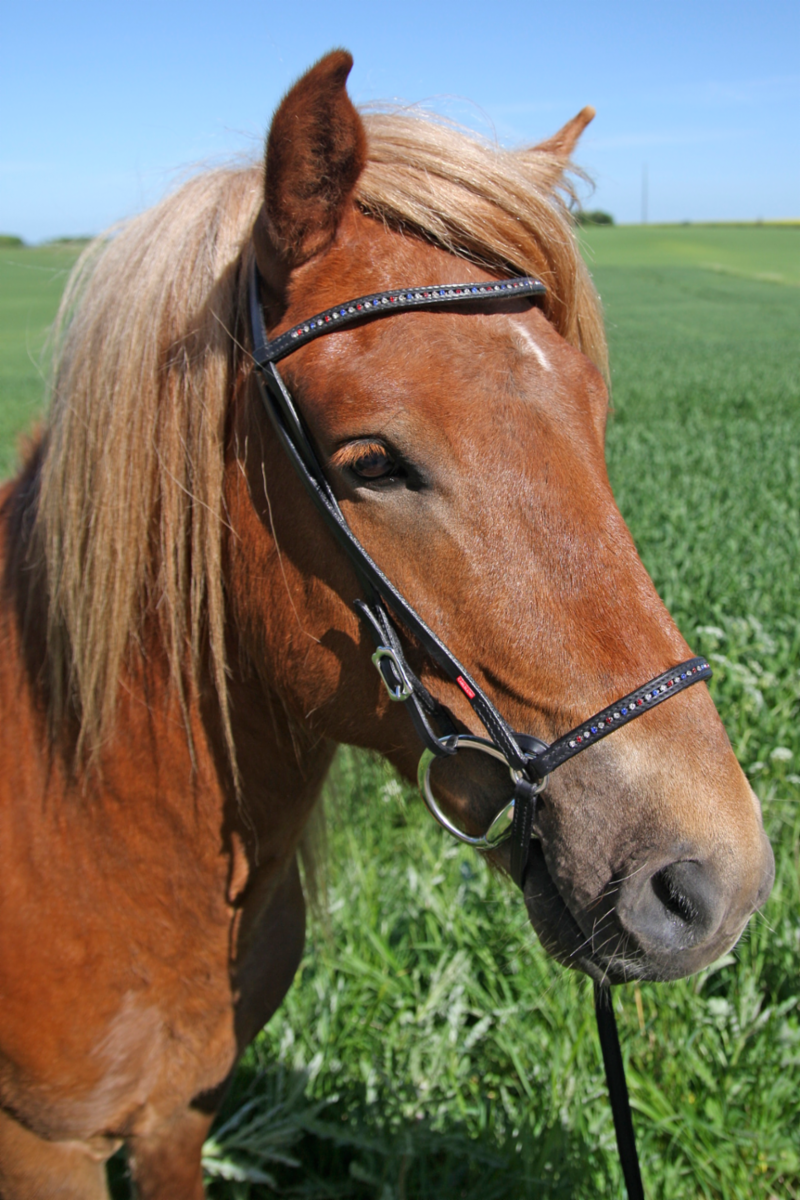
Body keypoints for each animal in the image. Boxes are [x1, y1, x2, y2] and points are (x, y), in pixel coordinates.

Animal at [0, 54, 777, 1200]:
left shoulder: (179, 1118)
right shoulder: (42, 1146)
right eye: (369, 463)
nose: (712, 883)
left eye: (592, 419)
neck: (96, 827)